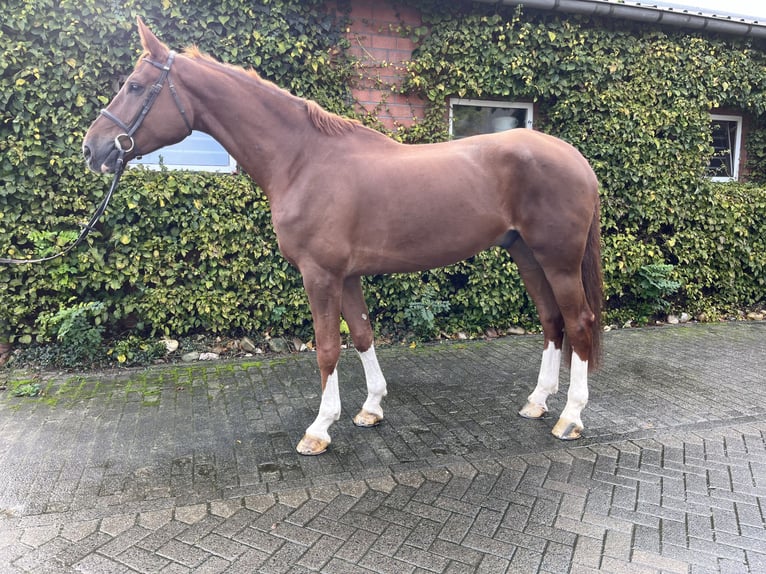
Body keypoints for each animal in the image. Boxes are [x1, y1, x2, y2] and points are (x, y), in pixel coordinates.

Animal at [83, 18, 603, 456]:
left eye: (134, 86)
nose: (93, 148)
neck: (303, 160)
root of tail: (576, 159)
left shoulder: (320, 275)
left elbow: (327, 347)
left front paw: (319, 429)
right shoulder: (347, 276)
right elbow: (363, 335)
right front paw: (370, 409)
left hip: (557, 259)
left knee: (578, 322)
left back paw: (571, 418)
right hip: (526, 254)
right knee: (552, 321)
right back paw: (538, 402)